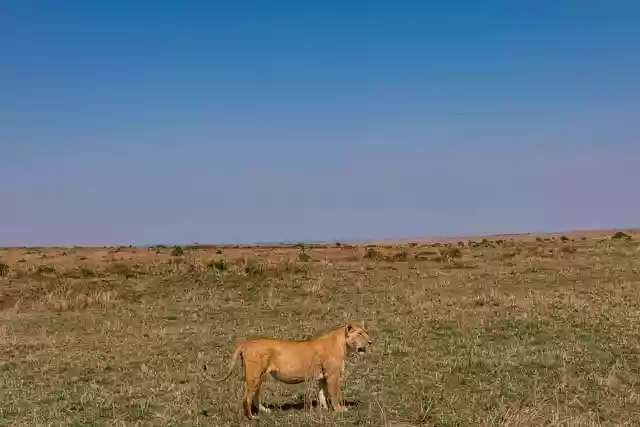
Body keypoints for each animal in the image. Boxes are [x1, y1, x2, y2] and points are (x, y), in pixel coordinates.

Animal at [208, 321, 372, 420]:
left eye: (365, 332)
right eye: (360, 334)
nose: (370, 342)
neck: (344, 345)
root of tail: (246, 342)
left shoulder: (322, 376)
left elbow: (322, 393)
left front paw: (324, 410)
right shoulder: (333, 375)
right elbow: (334, 394)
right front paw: (339, 410)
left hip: (259, 376)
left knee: (255, 395)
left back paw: (265, 411)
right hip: (254, 375)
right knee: (246, 397)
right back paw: (252, 418)